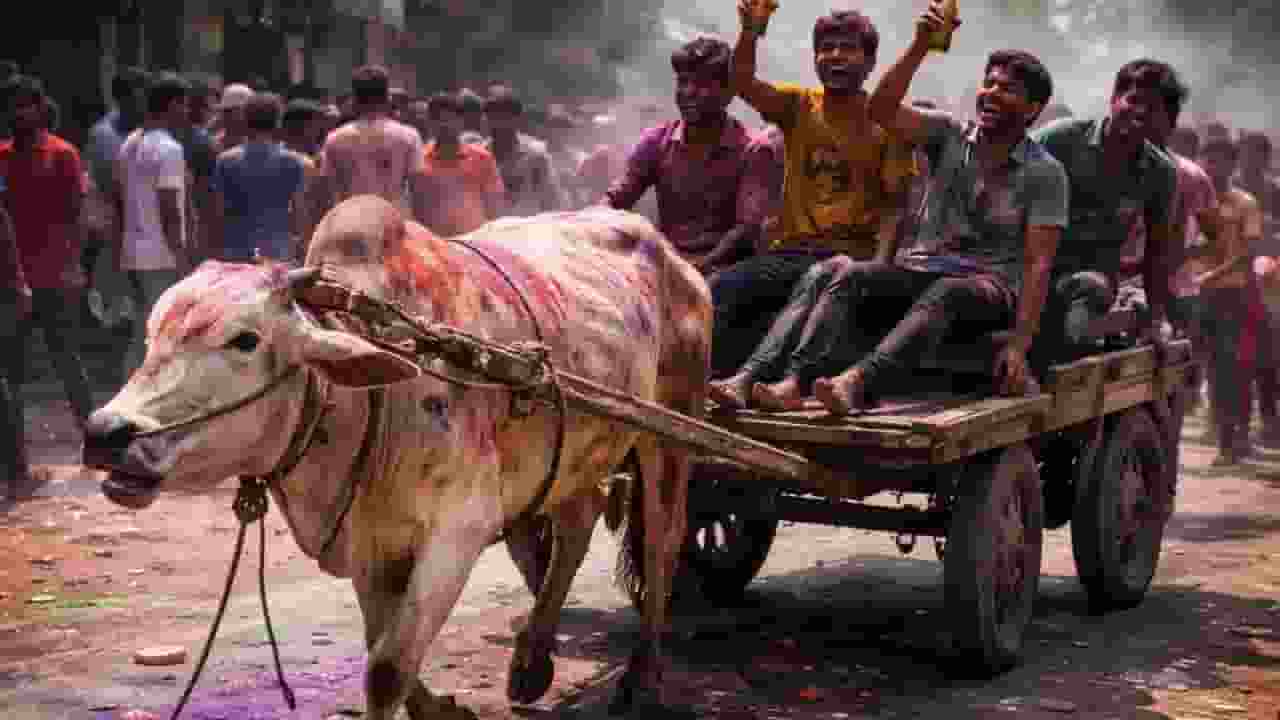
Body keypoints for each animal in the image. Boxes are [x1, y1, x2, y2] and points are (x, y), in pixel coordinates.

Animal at [82, 195, 712, 719]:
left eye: (245, 340)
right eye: (153, 334)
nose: (105, 433)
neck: (370, 402)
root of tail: (672, 255)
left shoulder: (458, 531)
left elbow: (386, 669)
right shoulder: (371, 546)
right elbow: (381, 648)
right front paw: (442, 710)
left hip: (672, 429)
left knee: (662, 541)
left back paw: (641, 680)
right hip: (573, 451)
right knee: (578, 521)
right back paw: (532, 662)